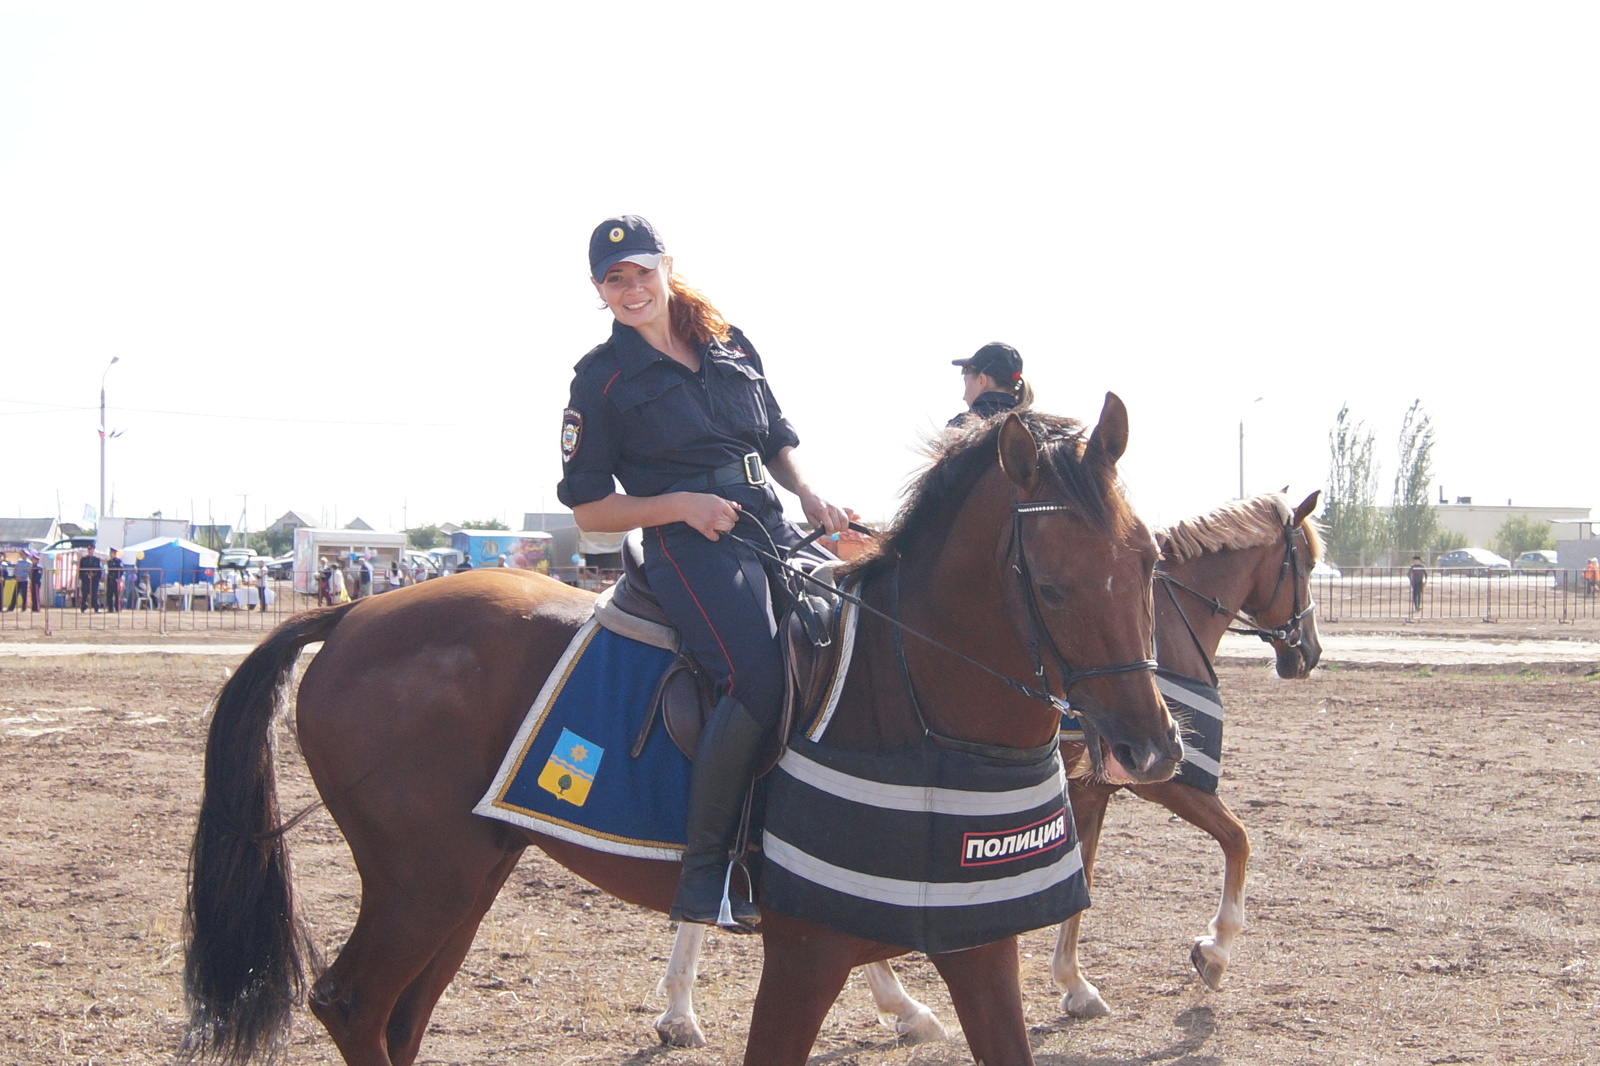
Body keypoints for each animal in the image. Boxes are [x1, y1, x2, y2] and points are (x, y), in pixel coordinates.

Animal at [181, 398, 1184, 1062]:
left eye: (1148, 562)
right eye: (1050, 585)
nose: (1151, 747)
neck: (916, 707)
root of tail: (354, 614)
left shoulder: (980, 947)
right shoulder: (804, 956)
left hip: (464, 877)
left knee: (398, 1016)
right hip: (421, 883)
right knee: (354, 1005)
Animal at [652, 489, 1324, 1043]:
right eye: (1308, 564)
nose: (1309, 654)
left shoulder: (1089, 789)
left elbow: (1083, 874)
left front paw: (1074, 984)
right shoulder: (1165, 781)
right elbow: (1238, 839)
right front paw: (1214, 950)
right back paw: (686, 1008)